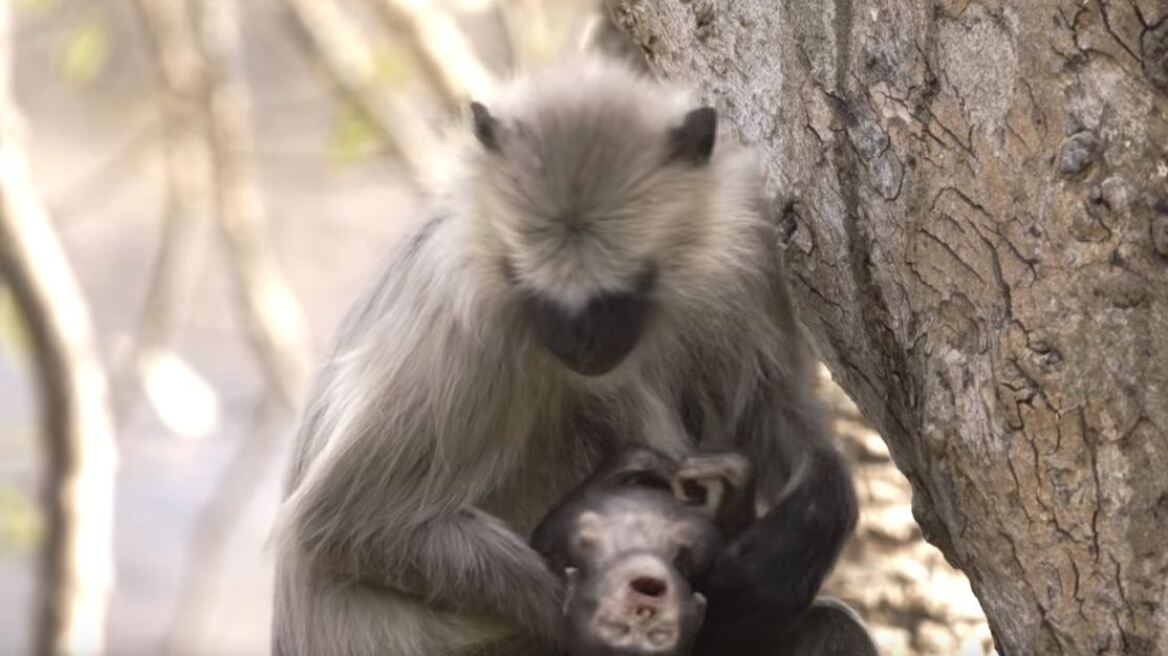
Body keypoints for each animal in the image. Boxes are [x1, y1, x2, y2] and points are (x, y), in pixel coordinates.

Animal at [268, 54, 864, 653]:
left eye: (621, 293)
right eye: (532, 287)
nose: (579, 340)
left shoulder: (744, 230)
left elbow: (773, 402)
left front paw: (797, 534)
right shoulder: (474, 312)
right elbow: (346, 525)